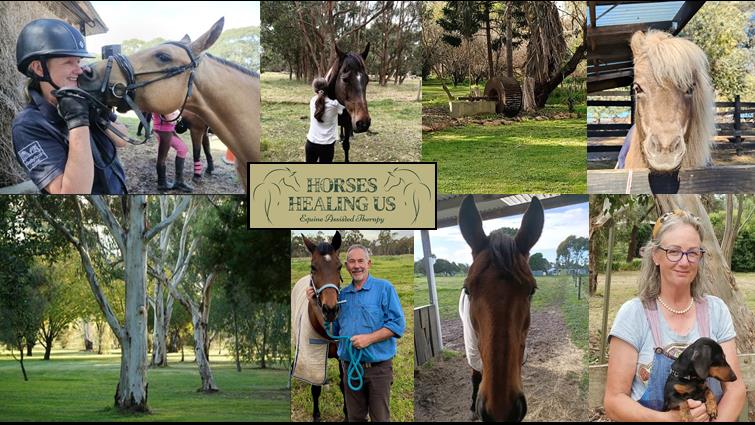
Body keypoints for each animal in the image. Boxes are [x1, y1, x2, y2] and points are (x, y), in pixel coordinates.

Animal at [77, 17, 259, 191]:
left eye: (163, 56)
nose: (87, 72)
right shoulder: (198, 129)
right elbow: (199, 150)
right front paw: (200, 173)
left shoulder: (200, 129)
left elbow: (203, 149)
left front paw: (205, 171)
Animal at [291, 231, 347, 422]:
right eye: (313, 267)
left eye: (339, 267)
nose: (330, 310)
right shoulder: (311, 356)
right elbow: (315, 387)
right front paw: (316, 415)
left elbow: (344, 385)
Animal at [458, 195, 544, 422]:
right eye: (467, 289)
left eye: (532, 290)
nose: (500, 410)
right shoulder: (472, 352)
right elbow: (475, 376)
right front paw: (472, 406)